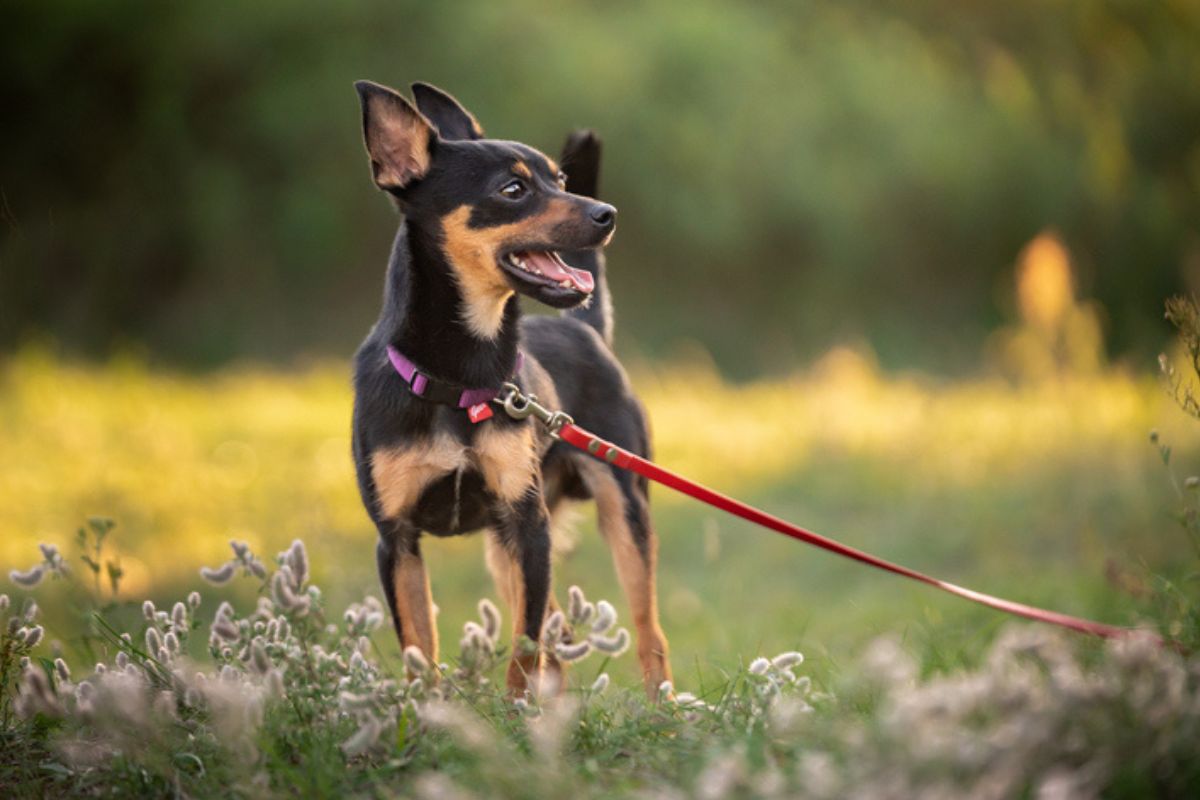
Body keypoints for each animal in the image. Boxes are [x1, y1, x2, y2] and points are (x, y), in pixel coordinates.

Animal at [350, 77, 676, 695]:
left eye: (562, 181)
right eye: (514, 189)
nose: (608, 214)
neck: (457, 378)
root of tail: (583, 327)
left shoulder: (527, 526)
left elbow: (525, 646)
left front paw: (516, 707)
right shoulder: (396, 540)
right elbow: (419, 649)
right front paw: (425, 709)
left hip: (622, 510)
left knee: (646, 630)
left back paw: (661, 707)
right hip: (505, 550)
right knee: (559, 629)